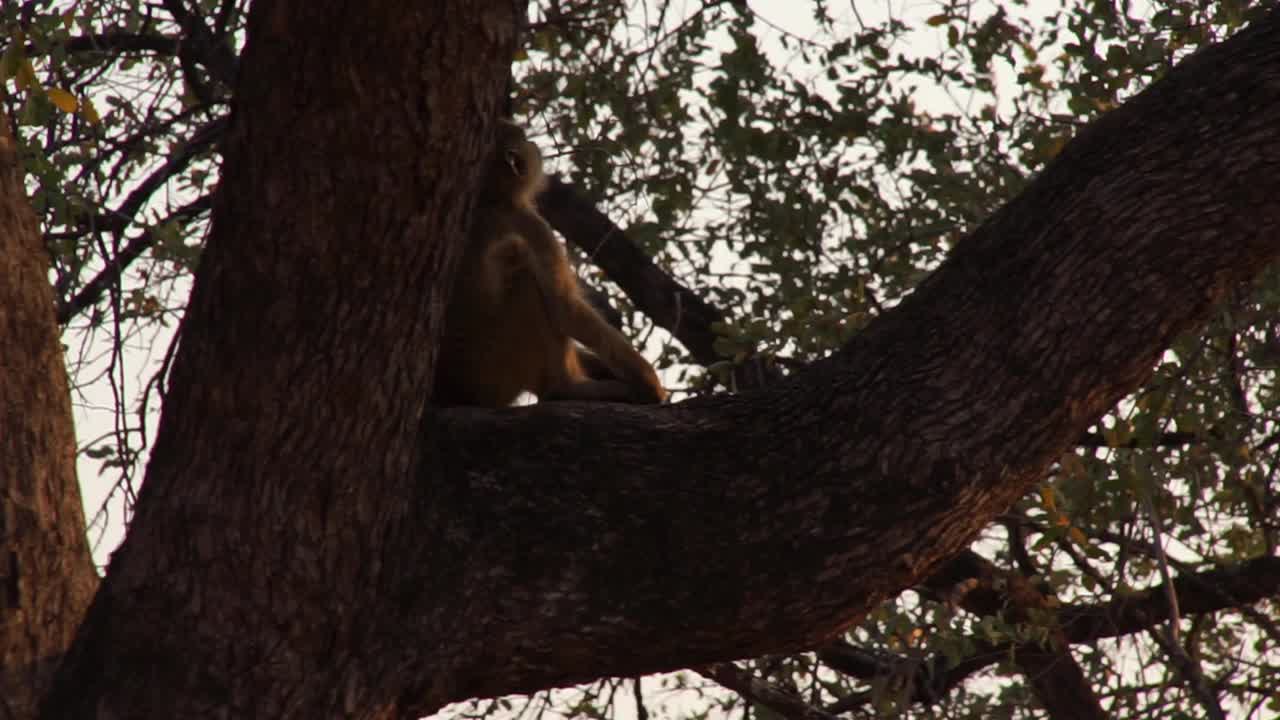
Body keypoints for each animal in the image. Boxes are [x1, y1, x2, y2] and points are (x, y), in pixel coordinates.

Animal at [432, 120, 670, 407]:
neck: (491, 198)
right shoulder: (531, 223)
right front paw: (650, 382)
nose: (534, 144)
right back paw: (563, 388)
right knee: (522, 268)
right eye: (525, 141)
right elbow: (565, 307)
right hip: (491, 373)